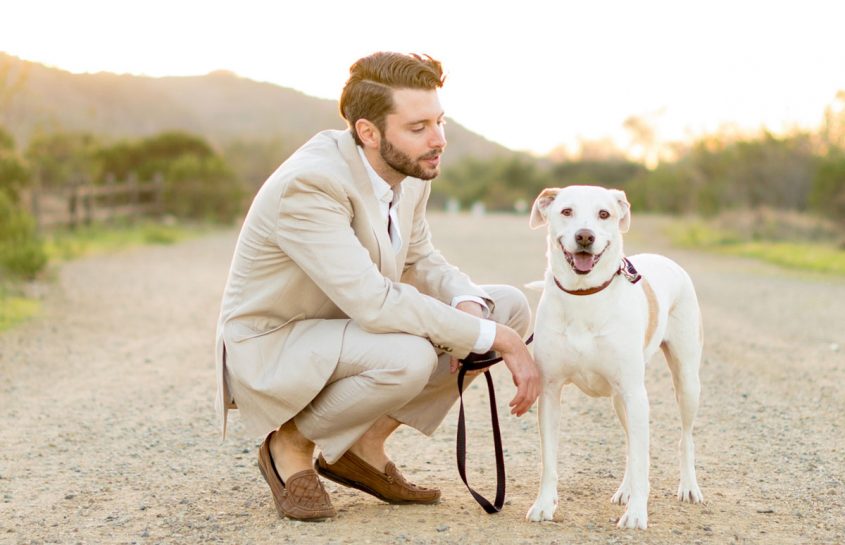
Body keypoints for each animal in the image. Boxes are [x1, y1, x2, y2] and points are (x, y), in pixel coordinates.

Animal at [524, 186, 704, 528]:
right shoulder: (550, 391)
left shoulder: (636, 394)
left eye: (604, 214)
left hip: (685, 382)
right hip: (621, 400)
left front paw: (636, 514)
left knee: (684, 438)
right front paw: (543, 504)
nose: (585, 236)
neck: (584, 295)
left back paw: (688, 486)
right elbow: (549, 460)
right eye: (566, 211)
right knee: (631, 446)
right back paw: (626, 490)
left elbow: (644, 461)